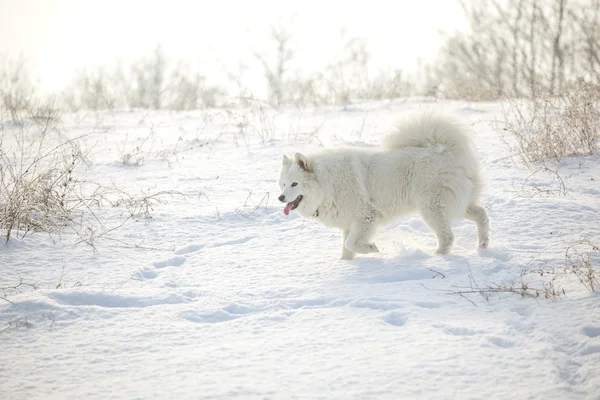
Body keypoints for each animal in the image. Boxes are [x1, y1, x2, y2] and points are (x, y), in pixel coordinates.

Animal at [278, 109, 490, 260]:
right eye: (283, 184)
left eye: (295, 184)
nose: (280, 198)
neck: (326, 184)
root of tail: (446, 151)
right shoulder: (349, 222)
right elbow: (346, 248)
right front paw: (345, 264)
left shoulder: (365, 216)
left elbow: (351, 243)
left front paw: (372, 249)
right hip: (454, 204)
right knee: (481, 214)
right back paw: (483, 245)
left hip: (431, 207)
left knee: (447, 236)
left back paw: (437, 257)